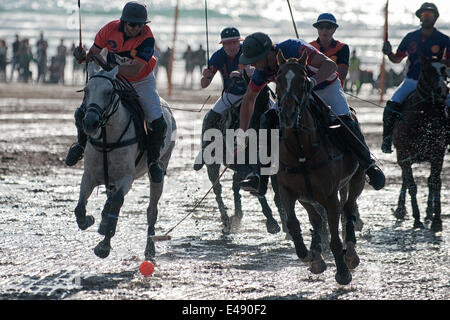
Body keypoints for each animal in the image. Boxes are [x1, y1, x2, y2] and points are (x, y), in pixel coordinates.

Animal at [274, 51, 366, 286]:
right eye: (278, 80)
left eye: (303, 80)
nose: (287, 114)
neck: (302, 150)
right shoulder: (288, 191)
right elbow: (294, 223)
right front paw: (306, 254)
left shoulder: (330, 195)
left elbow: (334, 237)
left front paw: (342, 272)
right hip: (308, 196)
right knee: (316, 217)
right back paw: (315, 254)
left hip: (357, 180)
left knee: (348, 209)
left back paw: (351, 253)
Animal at [392, 53, 448, 231]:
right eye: (427, 71)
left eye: (445, 70)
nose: (443, 90)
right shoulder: (404, 156)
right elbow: (412, 186)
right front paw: (416, 219)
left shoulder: (438, 154)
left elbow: (435, 183)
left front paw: (436, 220)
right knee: (405, 180)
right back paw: (401, 209)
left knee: (430, 181)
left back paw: (429, 213)